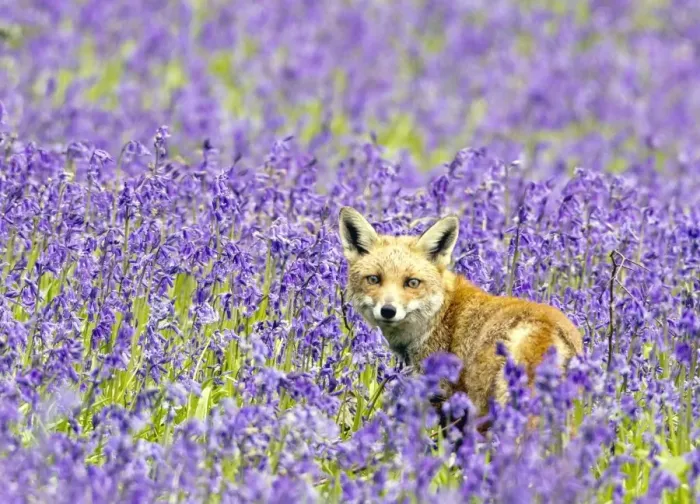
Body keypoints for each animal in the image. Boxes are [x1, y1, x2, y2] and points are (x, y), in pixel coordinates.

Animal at [338, 206, 583, 433]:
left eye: (412, 283)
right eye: (374, 279)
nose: (388, 310)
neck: (441, 314)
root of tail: (544, 326)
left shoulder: (444, 397)